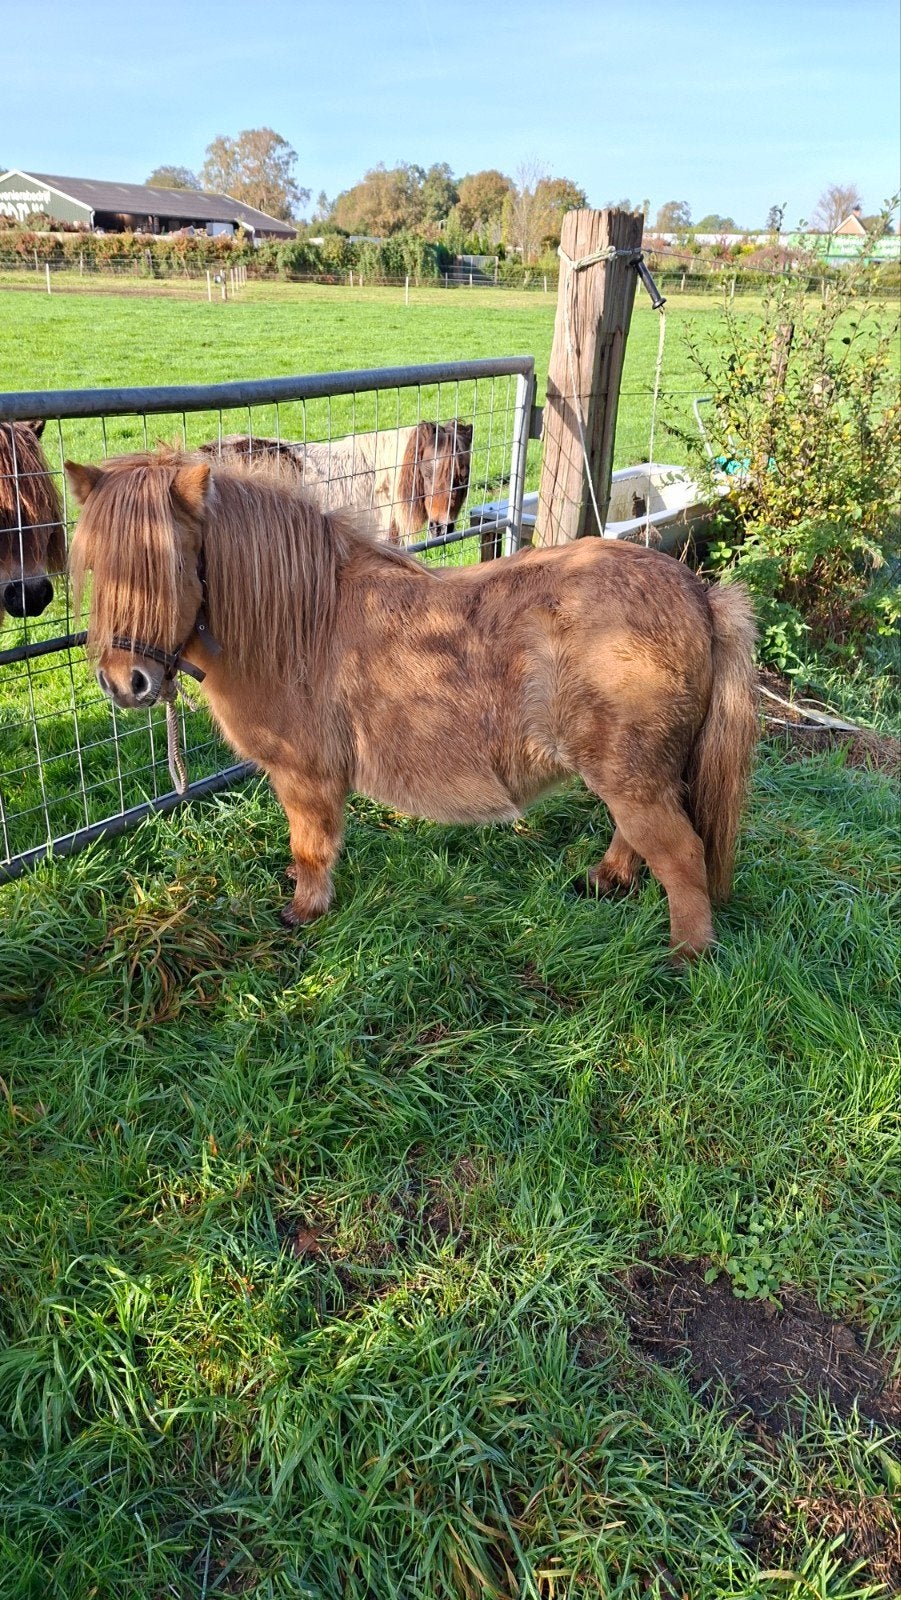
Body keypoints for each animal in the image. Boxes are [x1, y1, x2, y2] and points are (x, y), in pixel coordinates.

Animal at [65, 449, 758, 958]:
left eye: (171, 564)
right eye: (96, 565)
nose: (125, 683)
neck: (302, 621)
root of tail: (699, 595)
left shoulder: (306, 778)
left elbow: (311, 847)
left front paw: (304, 910)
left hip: (634, 780)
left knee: (680, 855)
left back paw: (685, 958)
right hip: (632, 777)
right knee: (635, 838)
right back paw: (606, 881)